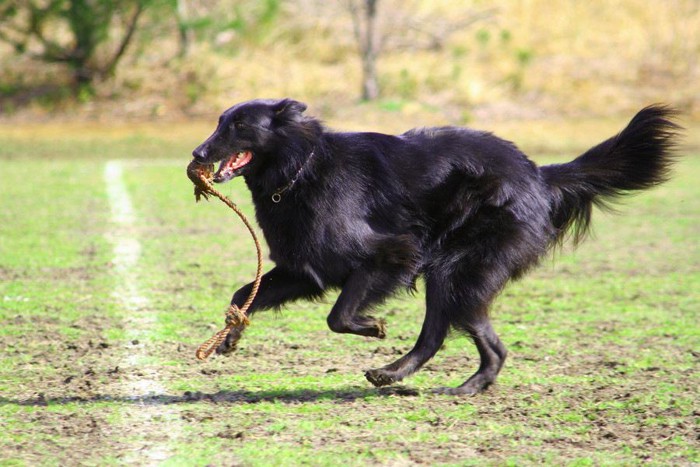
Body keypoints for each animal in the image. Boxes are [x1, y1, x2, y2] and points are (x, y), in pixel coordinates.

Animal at [190, 99, 680, 394]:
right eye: (219, 122)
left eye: (239, 125)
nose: (197, 155)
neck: (302, 167)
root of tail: (540, 175)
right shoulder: (303, 269)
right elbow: (243, 294)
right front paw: (230, 336)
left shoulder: (392, 253)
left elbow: (339, 315)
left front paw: (373, 326)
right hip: (452, 274)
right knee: (452, 338)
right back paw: (407, 376)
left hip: (454, 269)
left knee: (459, 338)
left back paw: (449, 382)